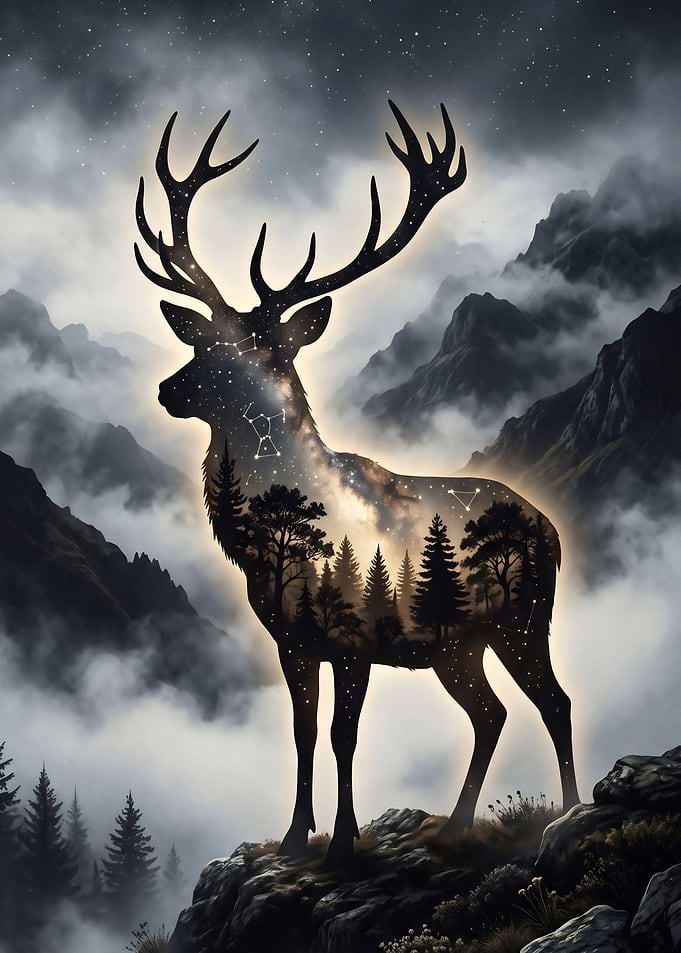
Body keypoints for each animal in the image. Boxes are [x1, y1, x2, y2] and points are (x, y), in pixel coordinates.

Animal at [135, 102, 579, 865]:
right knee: (490, 713)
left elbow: (345, 735)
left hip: (522, 616)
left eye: (259, 352)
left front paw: (342, 841)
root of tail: (550, 527)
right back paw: (455, 824)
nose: (168, 390)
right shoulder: (290, 640)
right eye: (202, 340)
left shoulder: (353, 634)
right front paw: (293, 837)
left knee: (554, 701)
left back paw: (572, 809)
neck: (274, 536)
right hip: (456, 644)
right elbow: (303, 732)